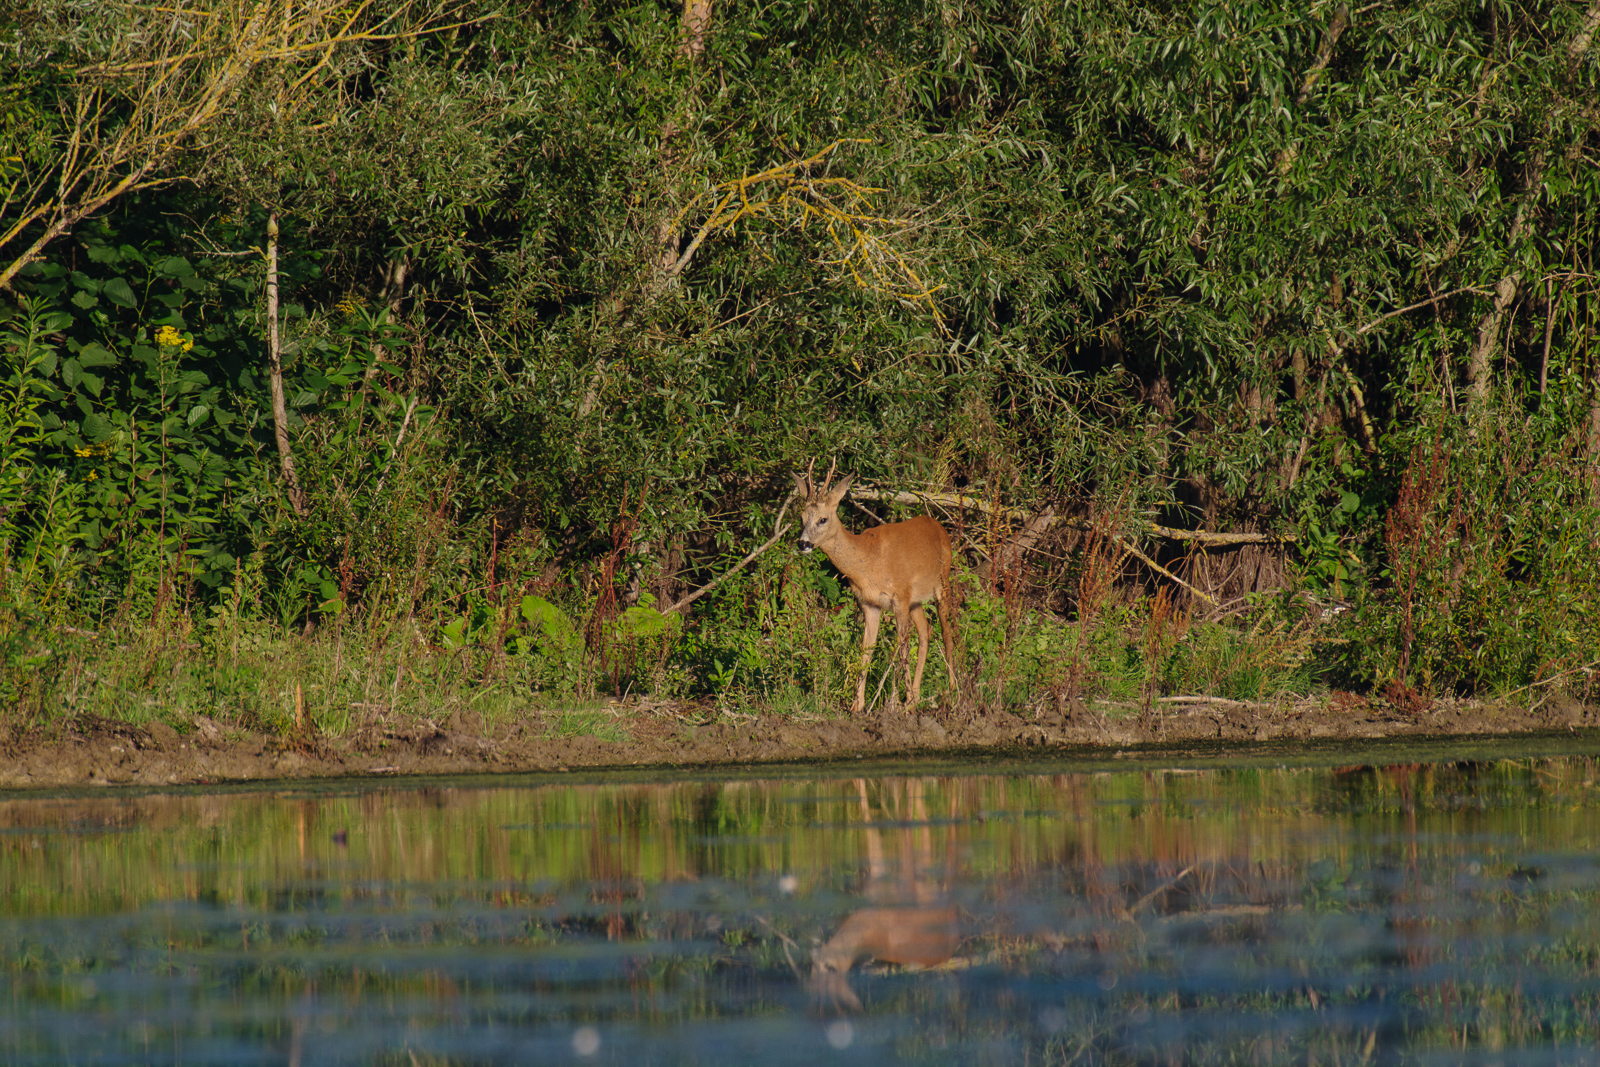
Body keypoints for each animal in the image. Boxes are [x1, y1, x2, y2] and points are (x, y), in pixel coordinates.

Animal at [793, 463, 953, 713]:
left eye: (823, 519)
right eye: (801, 518)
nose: (803, 543)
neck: (868, 561)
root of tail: (938, 526)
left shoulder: (899, 597)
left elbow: (903, 651)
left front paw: (900, 703)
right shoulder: (869, 604)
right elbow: (866, 651)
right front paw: (857, 705)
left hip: (942, 581)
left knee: (947, 634)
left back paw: (951, 692)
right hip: (916, 600)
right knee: (926, 631)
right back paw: (917, 697)